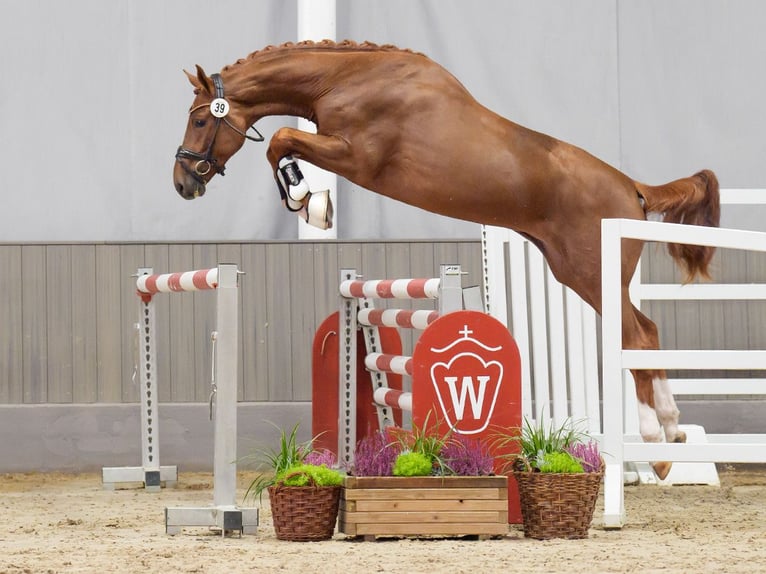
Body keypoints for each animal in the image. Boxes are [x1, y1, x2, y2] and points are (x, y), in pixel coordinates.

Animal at [172, 41, 720, 482]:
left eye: (200, 119)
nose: (184, 183)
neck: (346, 79)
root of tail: (633, 187)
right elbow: (283, 142)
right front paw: (312, 203)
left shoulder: (354, 155)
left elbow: (283, 139)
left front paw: (309, 201)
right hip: (578, 273)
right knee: (648, 332)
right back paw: (674, 432)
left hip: (592, 274)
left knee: (639, 338)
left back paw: (657, 448)